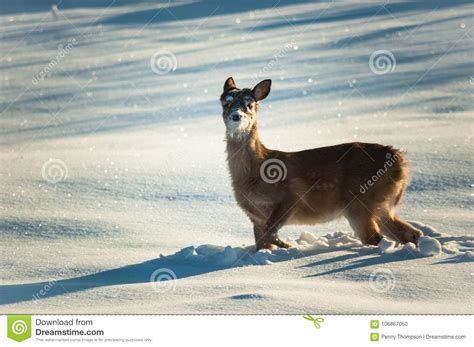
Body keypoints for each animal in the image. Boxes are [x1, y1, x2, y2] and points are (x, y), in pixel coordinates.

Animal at [220, 77, 424, 250]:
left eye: (249, 105)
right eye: (226, 102)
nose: (236, 116)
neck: (253, 173)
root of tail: (401, 161)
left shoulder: (290, 197)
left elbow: (271, 233)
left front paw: (290, 246)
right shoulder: (255, 217)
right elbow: (262, 245)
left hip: (361, 201)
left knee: (375, 238)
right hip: (381, 204)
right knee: (410, 233)